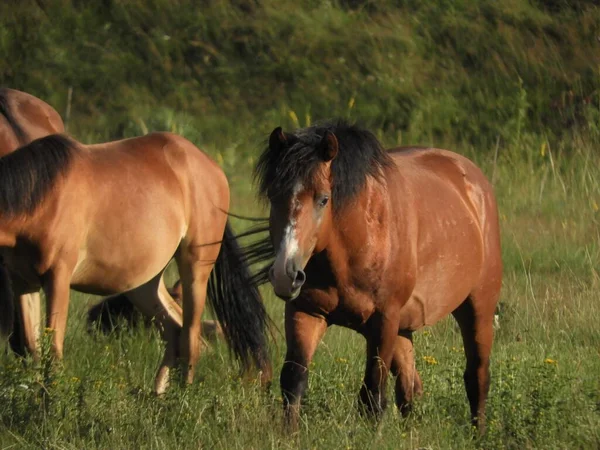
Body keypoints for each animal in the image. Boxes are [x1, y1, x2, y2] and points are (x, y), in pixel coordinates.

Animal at [0, 132, 270, 392]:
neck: (42, 198)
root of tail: (213, 170)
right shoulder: (24, 285)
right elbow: (33, 350)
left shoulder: (57, 279)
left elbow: (53, 353)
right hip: (145, 284)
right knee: (174, 332)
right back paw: (157, 396)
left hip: (195, 271)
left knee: (191, 338)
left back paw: (182, 399)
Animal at [255, 120, 504, 432]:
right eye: (274, 196)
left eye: (324, 199)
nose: (285, 274)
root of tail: (474, 181)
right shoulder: (306, 312)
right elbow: (293, 382)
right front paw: (289, 435)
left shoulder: (383, 320)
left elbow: (373, 394)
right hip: (404, 328)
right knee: (410, 386)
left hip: (477, 306)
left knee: (477, 376)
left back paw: (478, 434)